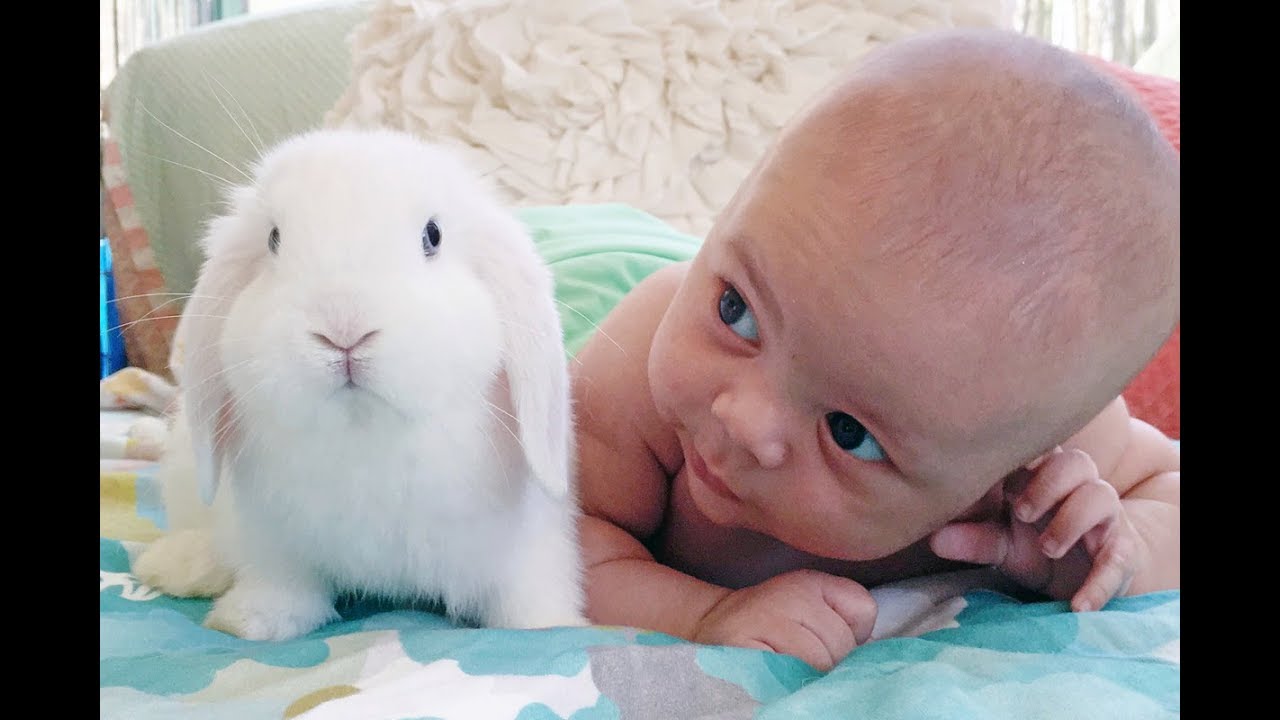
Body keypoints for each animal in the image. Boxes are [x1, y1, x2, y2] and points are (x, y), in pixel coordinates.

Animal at [132, 126, 586, 635]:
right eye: (273, 239)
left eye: (433, 235)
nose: (343, 330)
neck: (365, 429)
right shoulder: (272, 542)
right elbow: (283, 586)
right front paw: (251, 622)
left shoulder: (525, 552)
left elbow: (527, 599)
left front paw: (550, 626)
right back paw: (174, 565)